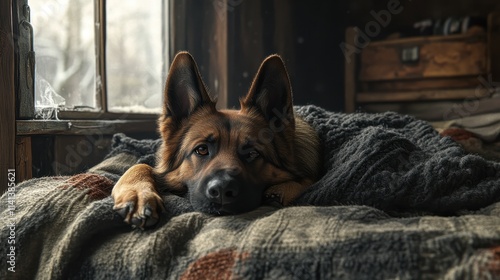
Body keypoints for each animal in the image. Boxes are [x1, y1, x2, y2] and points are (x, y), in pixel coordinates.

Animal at [112, 51, 320, 229]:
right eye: (201, 149)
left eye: (252, 153)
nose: (221, 191)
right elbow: (140, 165)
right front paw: (139, 194)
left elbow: (307, 179)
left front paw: (282, 190)